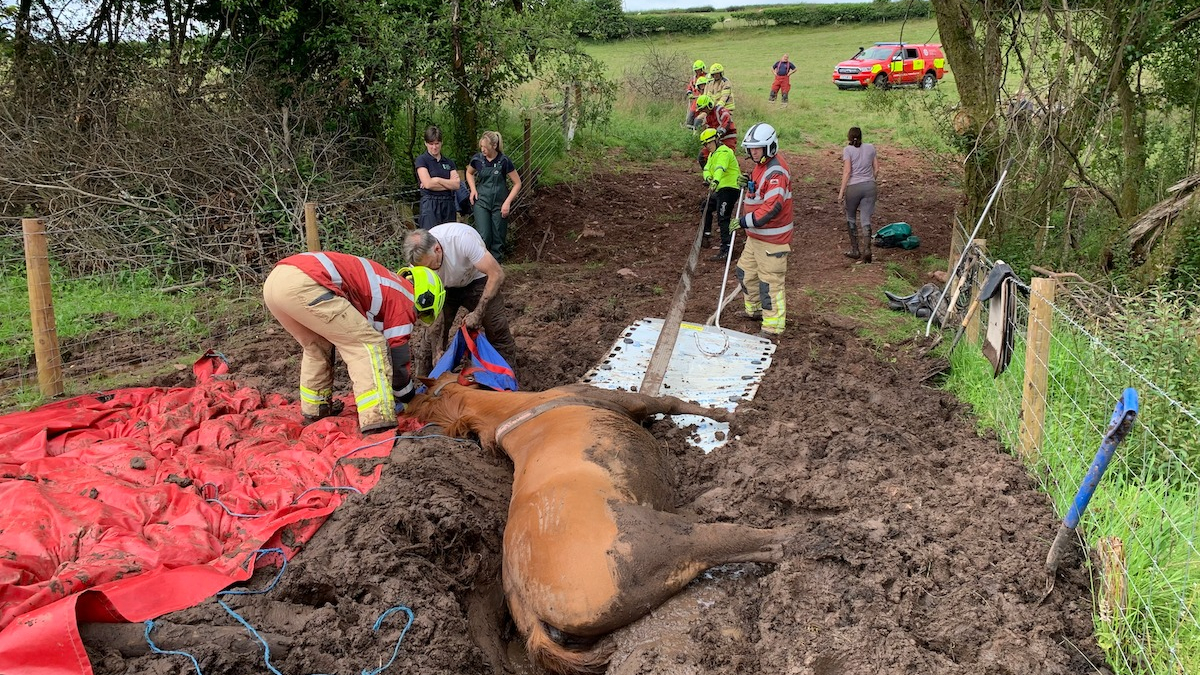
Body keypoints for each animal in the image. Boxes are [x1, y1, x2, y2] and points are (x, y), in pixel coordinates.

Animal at [408, 372, 792, 672]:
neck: (510, 410)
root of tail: (523, 601)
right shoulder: (624, 399)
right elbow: (670, 402)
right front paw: (732, 414)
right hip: (655, 547)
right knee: (740, 540)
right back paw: (796, 539)